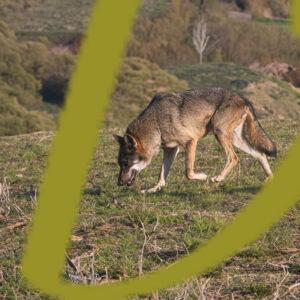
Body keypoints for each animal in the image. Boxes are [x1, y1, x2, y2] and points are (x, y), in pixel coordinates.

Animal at [114, 88, 276, 193]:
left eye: (126, 163)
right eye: (120, 164)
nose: (119, 183)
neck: (156, 124)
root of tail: (242, 98)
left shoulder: (191, 141)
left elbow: (188, 172)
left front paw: (204, 176)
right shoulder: (171, 149)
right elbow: (162, 175)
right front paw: (154, 189)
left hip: (220, 133)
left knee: (234, 158)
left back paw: (218, 178)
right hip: (236, 140)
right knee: (260, 154)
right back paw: (270, 179)